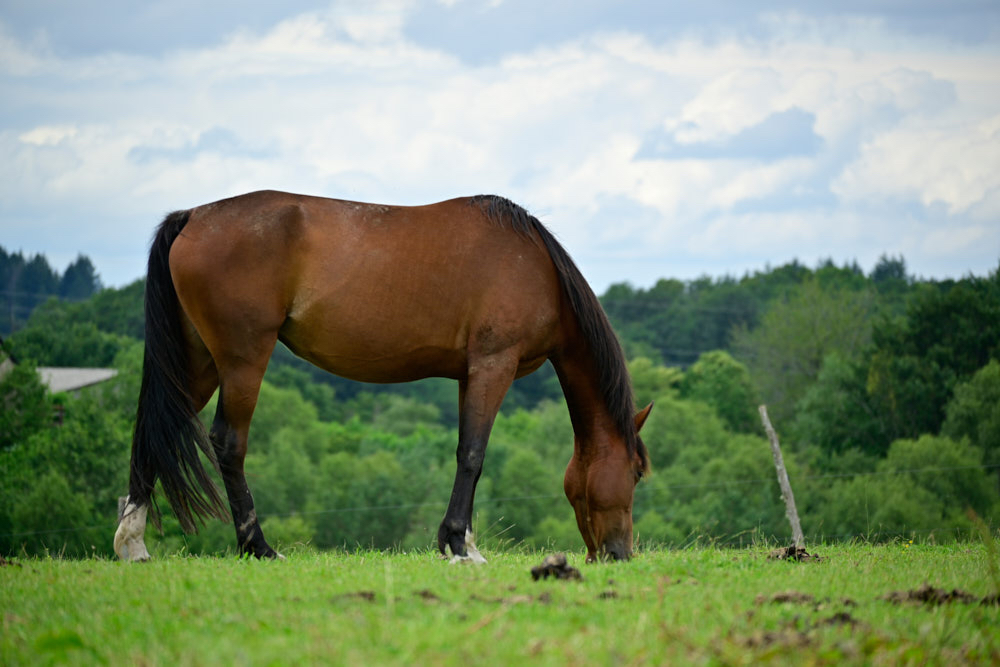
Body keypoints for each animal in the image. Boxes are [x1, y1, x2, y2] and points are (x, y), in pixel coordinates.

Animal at [113, 189, 652, 564]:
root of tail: (192, 216)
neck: (536, 266)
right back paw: (258, 547)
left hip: (199, 360)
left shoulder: (469, 374)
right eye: (637, 473)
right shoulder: (493, 364)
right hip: (242, 359)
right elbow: (473, 455)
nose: (620, 554)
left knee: (152, 435)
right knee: (228, 443)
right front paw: (460, 546)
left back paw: (133, 544)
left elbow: (465, 452)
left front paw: (459, 541)